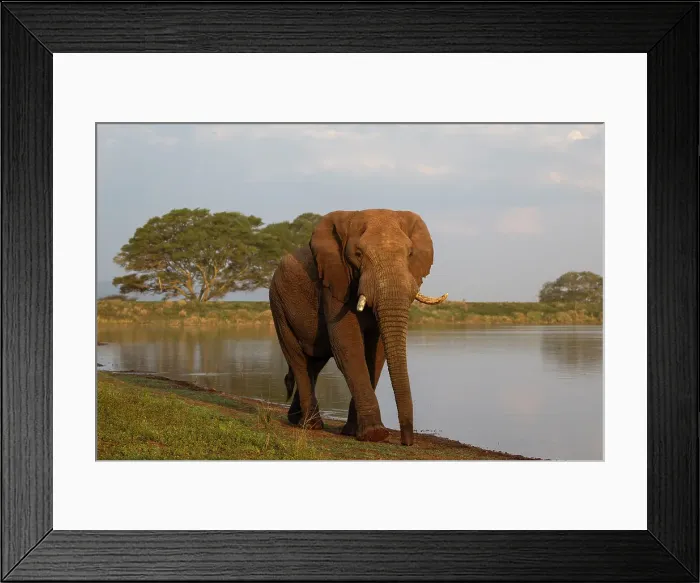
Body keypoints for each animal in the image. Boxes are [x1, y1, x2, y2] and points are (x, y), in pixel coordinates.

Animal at [268, 209, 447, 446]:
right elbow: (348, 345)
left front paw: (353, 432)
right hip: (278, 303)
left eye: (410, 253)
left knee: (314, 363)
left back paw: (296, 419)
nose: (406, 441)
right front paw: (374, 435)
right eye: (359, 254)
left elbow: (376, 352)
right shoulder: (334, 281)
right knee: (297, 357)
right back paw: (311, 425)